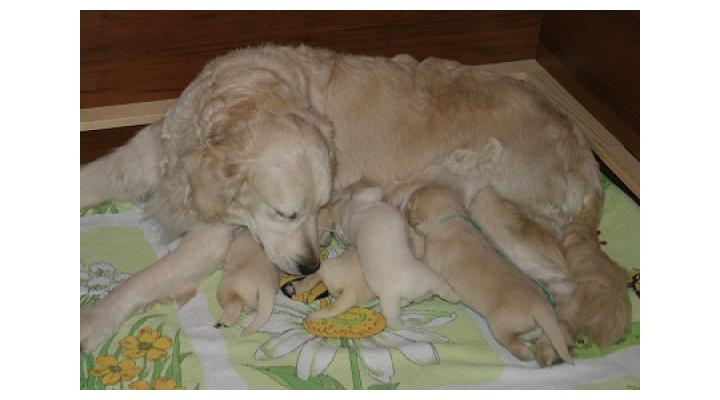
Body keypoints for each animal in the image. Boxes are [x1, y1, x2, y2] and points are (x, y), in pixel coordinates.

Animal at [405, 184, 573, 366]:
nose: (403, 212)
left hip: (498, 323)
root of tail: (540, 306)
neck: (450, 219)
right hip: (532, 326)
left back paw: (524, 353)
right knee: (532, 333)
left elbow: (422, 260)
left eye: (409, 206)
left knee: (510, 340)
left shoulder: (431, 258)